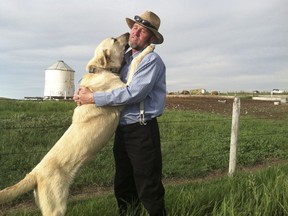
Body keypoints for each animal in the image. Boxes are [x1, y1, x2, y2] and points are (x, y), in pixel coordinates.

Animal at [0, 32, 155, 216]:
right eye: (114, 39)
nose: (128, 33)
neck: (100, 71)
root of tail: (34, 174)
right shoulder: (125, 88)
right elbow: (135, 64)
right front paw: (149, 48)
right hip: (56, 208)